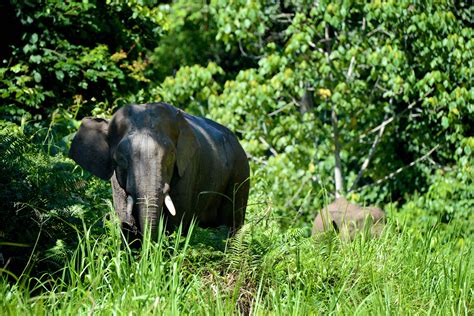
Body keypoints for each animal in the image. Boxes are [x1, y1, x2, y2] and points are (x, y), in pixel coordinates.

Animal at [69, 102, 252, 238]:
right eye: (120, 159)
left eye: (170, 156)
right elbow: (124, 217)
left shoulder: (188, 169)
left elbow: (176, 221)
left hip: (240, 174)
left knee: (231, 225)